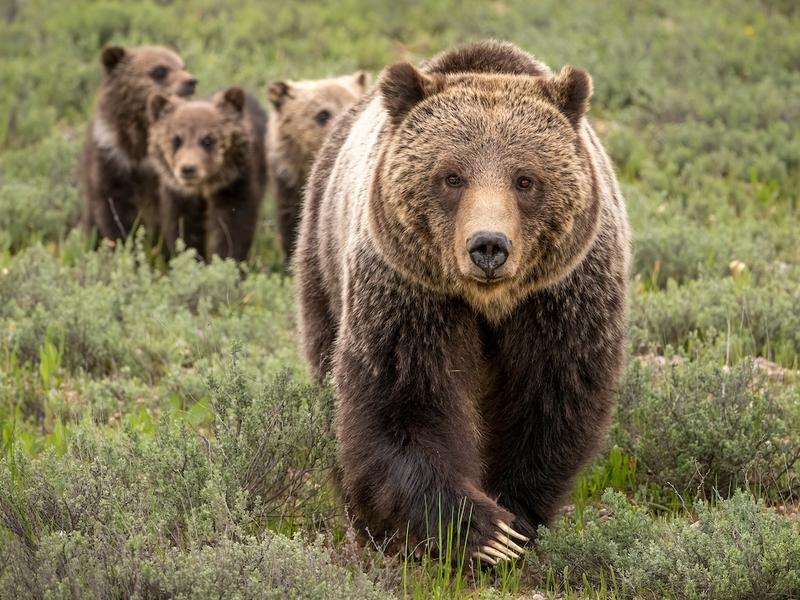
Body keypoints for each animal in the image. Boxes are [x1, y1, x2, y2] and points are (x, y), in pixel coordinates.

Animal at [79, 45, 197, 244]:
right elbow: (113, 212)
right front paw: (124, 242)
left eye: (183, 66)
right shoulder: (111, 160)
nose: (191, 81)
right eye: (160, 70)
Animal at [146, 87, 266, 262]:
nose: (188, 169)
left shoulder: (234, 184)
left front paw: (227, 259)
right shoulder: (179, 194)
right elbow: (183, 228)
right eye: (176, 140)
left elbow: (234, 226)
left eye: (208, 140)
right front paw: (192, 258)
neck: (204, 187)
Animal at [294, 39, 632, 564]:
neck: (488, 303)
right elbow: (403, 401)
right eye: (452, 177)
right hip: (321, 256)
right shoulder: (410, 296)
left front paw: (516, 521)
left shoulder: (560, 299)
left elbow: (549, 401)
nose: (488, 245)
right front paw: (481, 532)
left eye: (525, 179)